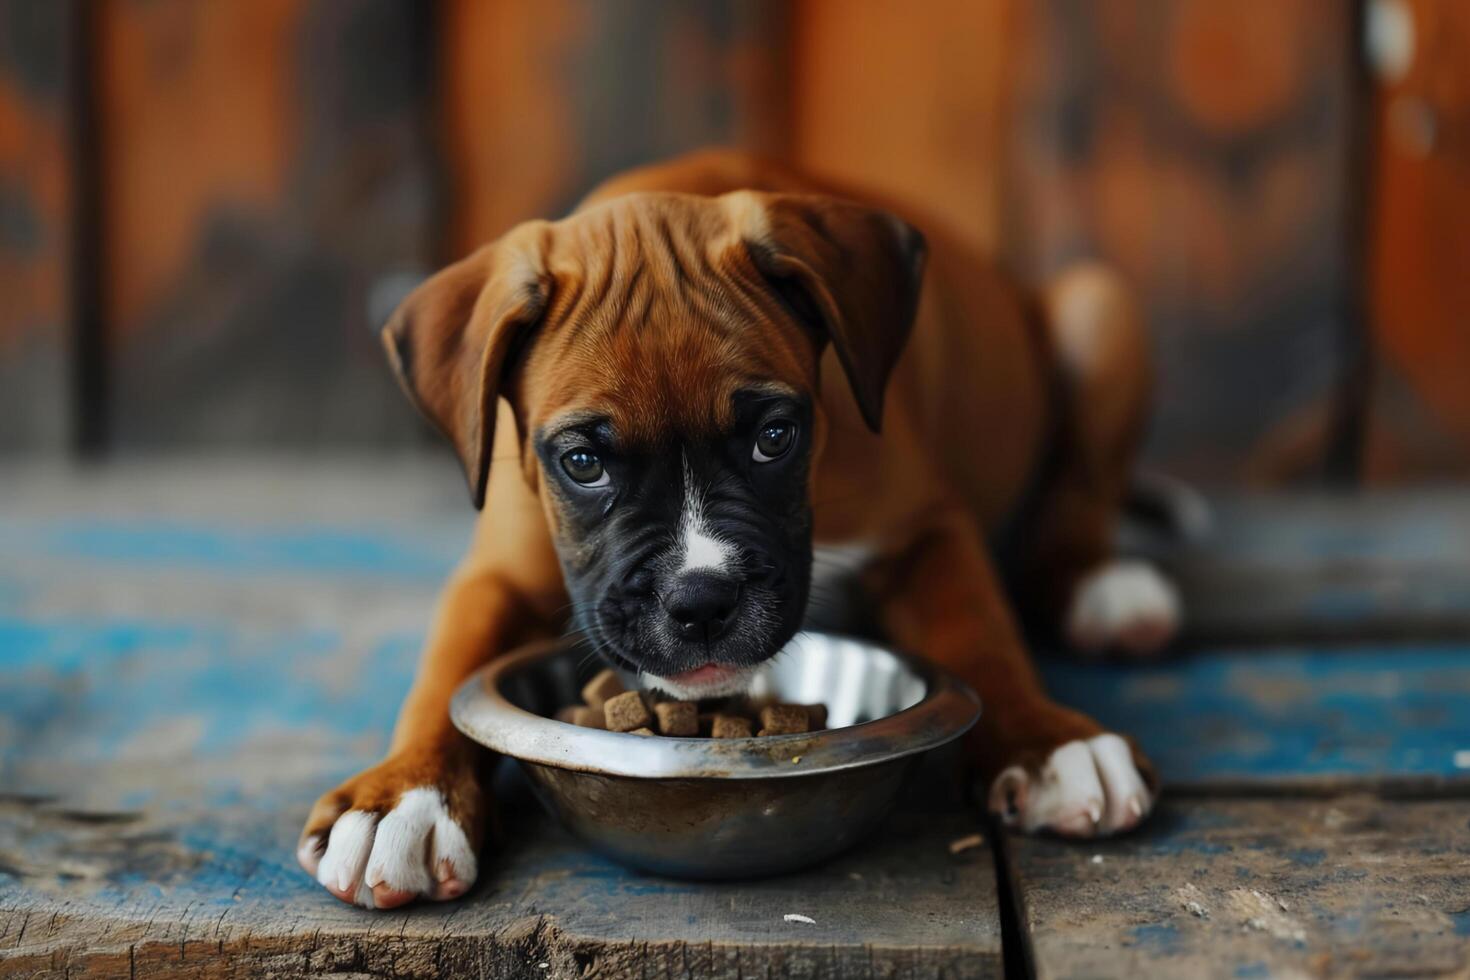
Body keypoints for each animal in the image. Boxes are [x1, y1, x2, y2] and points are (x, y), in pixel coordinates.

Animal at [298, 149, 1181, 910]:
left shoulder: (927, 528)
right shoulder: (497, 576)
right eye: (582, 462)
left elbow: (981, 633)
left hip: (1100, 306)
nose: (700, 601)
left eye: (775, 438)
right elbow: (444, 670)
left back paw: (1110, 591)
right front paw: (403, 797)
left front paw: (1045, 742)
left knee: (1077, 499)